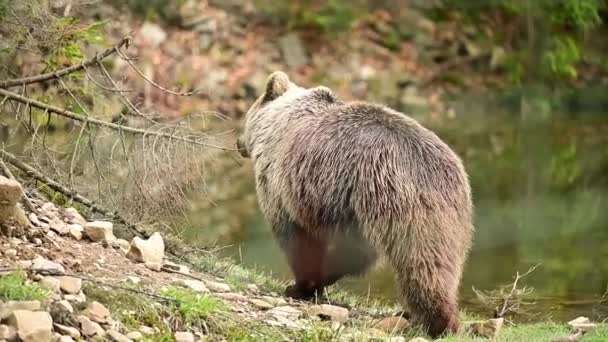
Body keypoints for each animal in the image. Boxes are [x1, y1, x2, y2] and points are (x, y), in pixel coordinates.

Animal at [235, 71, 472, 338]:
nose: (237, 142)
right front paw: (317, 281)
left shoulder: (284, 188)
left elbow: (296, 237)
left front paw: (300, 286)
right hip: (452, 216)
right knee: (443, 263)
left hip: (394, 203)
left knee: (422, 267)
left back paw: (439, 322)